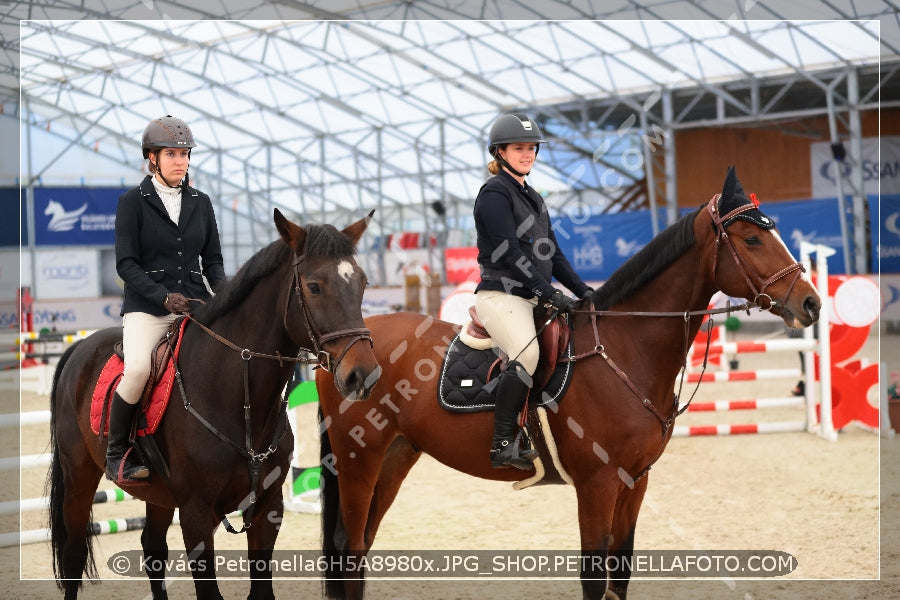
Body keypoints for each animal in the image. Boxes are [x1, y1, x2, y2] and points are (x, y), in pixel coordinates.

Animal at [47, 210, 382, 600]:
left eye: (362, 283)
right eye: (314, 286)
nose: (363, 375)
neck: (237, 399)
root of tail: (80, 348)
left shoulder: (268, 508)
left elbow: (262, 589)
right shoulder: (195, 513)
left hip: (157, 494)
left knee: (152, 548)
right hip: (79, 476)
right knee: (73, 553)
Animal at [314, 170, 824, 600]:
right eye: (752, 238)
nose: (812, 304)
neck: (624, 348)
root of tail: (345, 346)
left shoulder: (635, 480)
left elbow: (621, 571)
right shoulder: (598, 483)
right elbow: (594, 578)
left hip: (396, 455)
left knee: (363, 544)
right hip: (359, 458)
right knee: (349, 546)